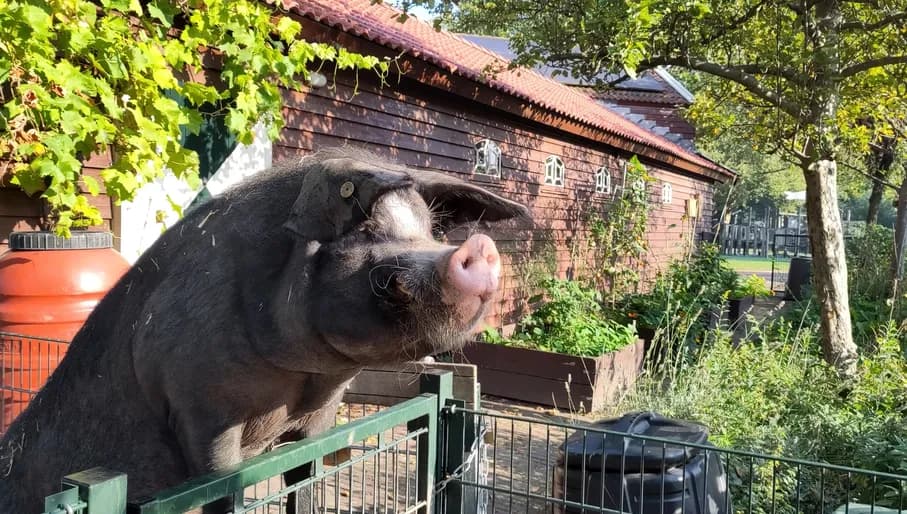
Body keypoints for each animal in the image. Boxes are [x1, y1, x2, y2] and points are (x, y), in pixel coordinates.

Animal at [0, 147, 527, 513]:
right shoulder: (199, 405)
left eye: (429, 232)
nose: (480, 249)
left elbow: (307, 474)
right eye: (368, 237)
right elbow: (221, 480)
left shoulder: (319, 417)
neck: (300, 380)